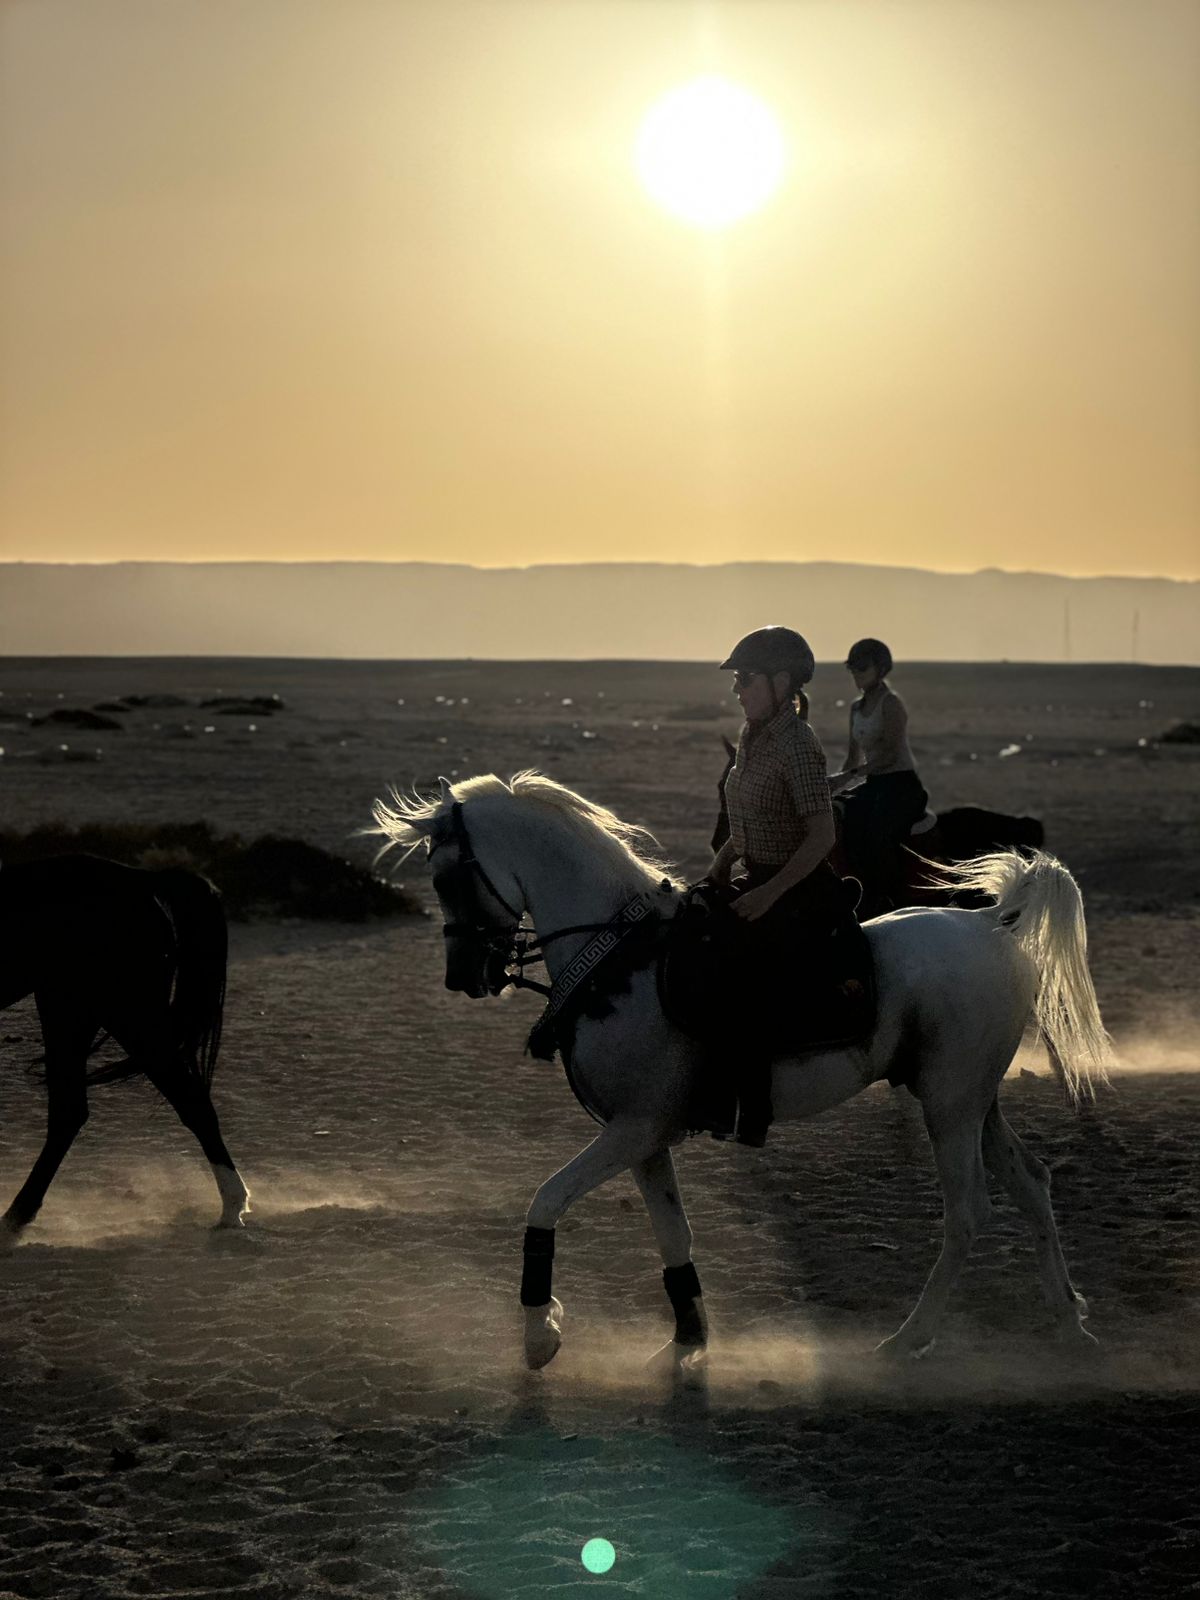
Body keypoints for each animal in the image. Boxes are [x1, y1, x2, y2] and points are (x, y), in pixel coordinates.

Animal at [374, 772, 1112, 1374]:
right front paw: (688, 1339)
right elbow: (673, 1234)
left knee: (967, 1214)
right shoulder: (644, 1139)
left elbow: (545, 1202)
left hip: (950, 1106)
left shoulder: (633, 1129)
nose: (463, 977)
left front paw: (539, 1336)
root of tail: (991, 925)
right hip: (973, 1101)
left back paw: (910, 1338)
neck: (620, 959)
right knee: (1032, 1184)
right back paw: (1069, 1324)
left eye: (446, 878)